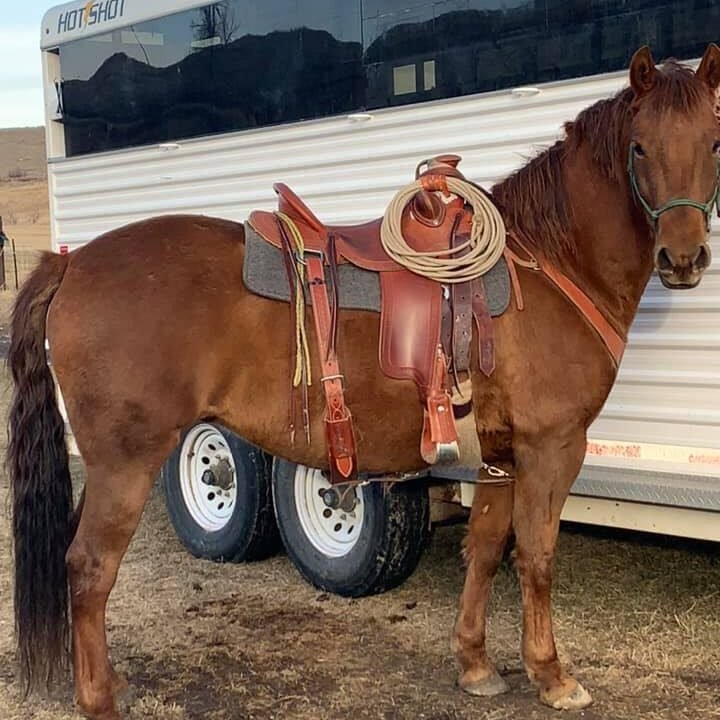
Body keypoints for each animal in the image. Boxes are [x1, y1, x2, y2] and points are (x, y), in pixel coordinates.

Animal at [8, 44, 720, 719]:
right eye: (639, 146)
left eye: (714, 141)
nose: (684, 259)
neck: (548, 263)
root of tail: (73, 265)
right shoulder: (552, 447)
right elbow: (538, 557)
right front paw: (551, 675)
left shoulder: (500, 455)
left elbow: (488, 550)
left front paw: (475, 664)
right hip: (126, 462)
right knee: (89, 568)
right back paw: (98, 697)